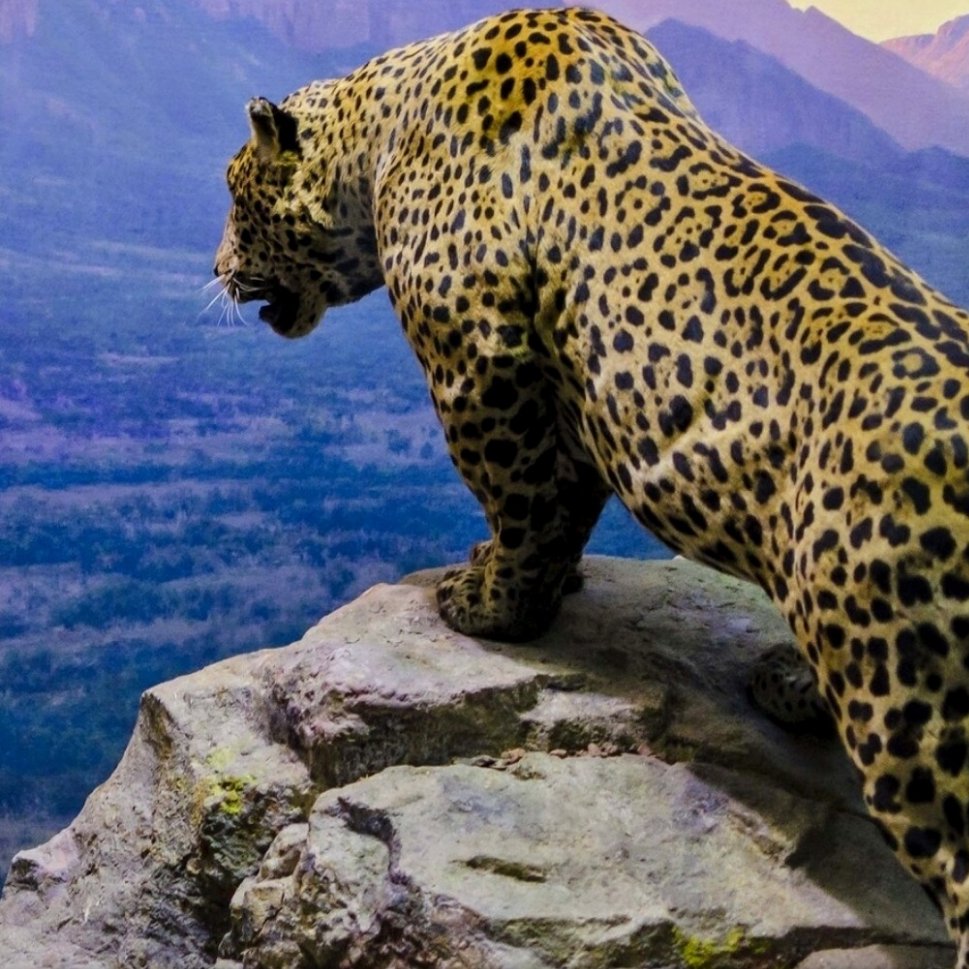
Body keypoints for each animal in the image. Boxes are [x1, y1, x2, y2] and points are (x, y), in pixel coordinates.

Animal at [214, 7, 969, 962]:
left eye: (235, 195)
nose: (215, 269)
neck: (376, 136)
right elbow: (558, 502)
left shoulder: (478, 357)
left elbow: (523, 498)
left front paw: (490, 603)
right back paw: (790, 685)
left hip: (909, 698)